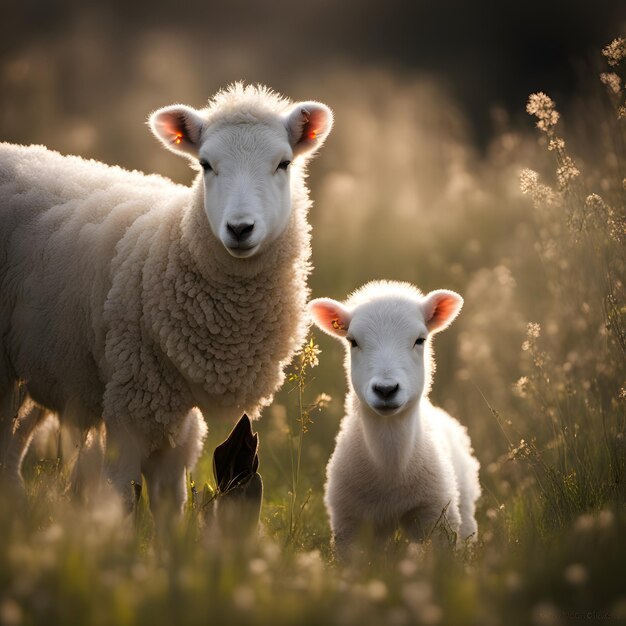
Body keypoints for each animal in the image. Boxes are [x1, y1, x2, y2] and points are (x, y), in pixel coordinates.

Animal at [0, 83, 332, 512]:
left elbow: (170, 499)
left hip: (34, 364)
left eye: (284, 163)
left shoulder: (174, 406)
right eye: (206, 164)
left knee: (12, 449)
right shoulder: (134, 399)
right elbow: (123, 494)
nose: (240, 229)